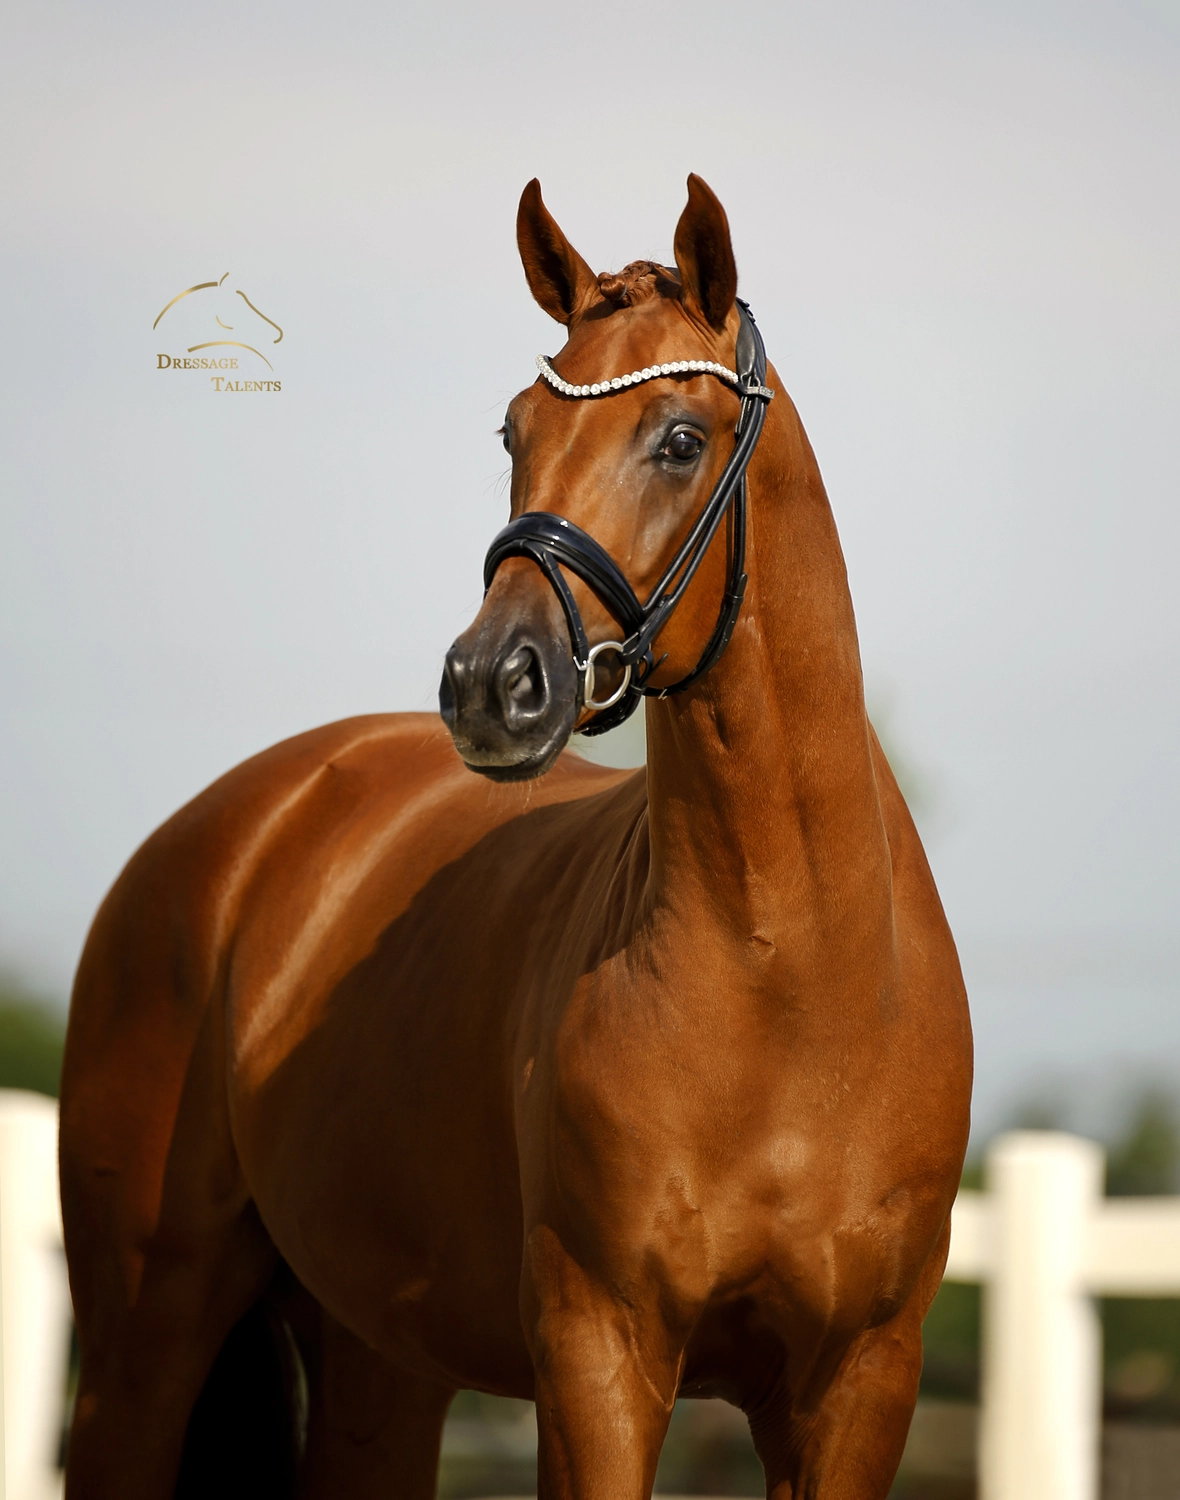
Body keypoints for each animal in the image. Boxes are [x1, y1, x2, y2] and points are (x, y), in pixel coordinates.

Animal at [61, 175, 972, 1500]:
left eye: (680, 440)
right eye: (512, 432)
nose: (492, 685)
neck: (788, 978)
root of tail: (245, 822)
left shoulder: (859, 1384)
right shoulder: (599, 1354)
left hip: (377, 1363)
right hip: (143, 1337)